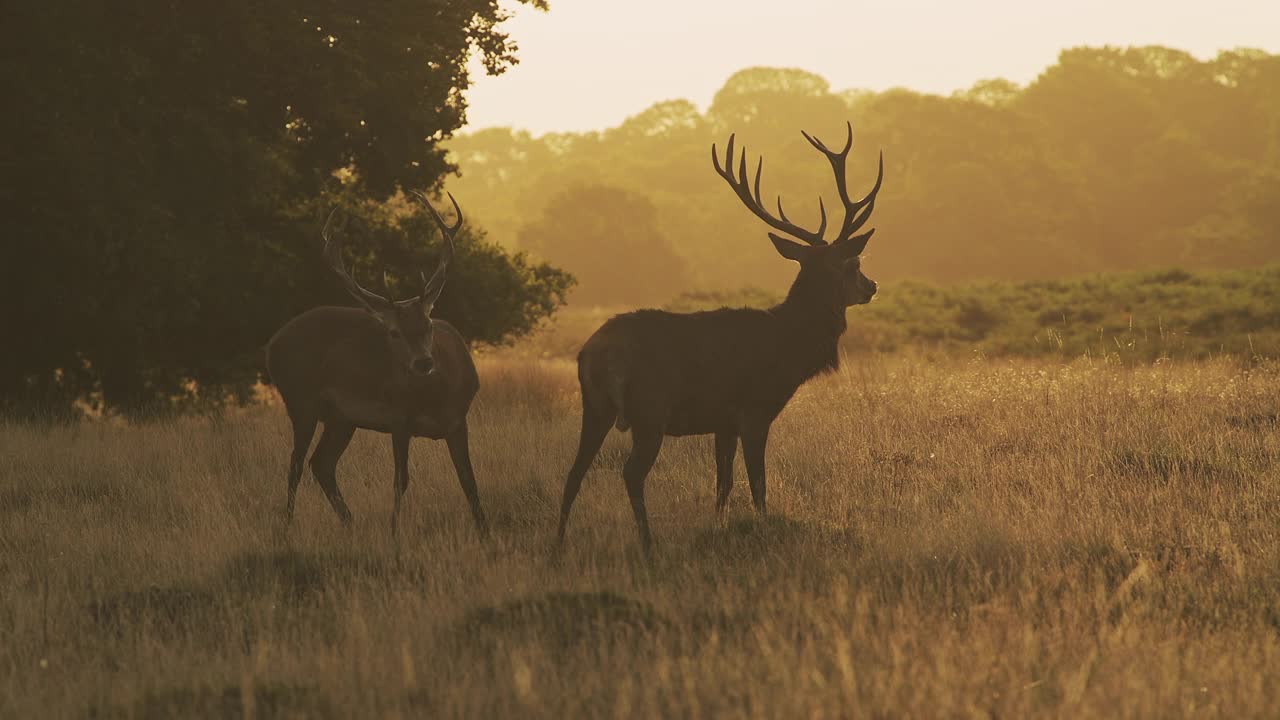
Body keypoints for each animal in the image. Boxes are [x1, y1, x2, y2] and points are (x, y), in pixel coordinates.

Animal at [267, 193, 486, 535]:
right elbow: (401, 481)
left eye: (429, 324)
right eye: (393, 332)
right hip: (300, 400)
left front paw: (485, 534)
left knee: (322, 463)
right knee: (296, 464)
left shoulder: (458, 420)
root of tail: (271, 345)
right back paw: (288, 527)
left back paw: (350, 523)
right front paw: (393, 533)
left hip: (341, 418)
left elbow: (470, 483)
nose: (423, 362)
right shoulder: (398, 417)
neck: (435, 398)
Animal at [555, 122, 885, 548]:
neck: (788, 349)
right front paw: (763, 530)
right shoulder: (754, 410)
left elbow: (723, 484)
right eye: (853, 263)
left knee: (573, 472)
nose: (872, 286)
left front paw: (717, 527)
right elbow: (758, 485)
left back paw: (557, 547)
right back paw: (648, 545)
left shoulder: (723, 421)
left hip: (594, 406)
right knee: (630, 474)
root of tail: (592, 353)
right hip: (649, 409)